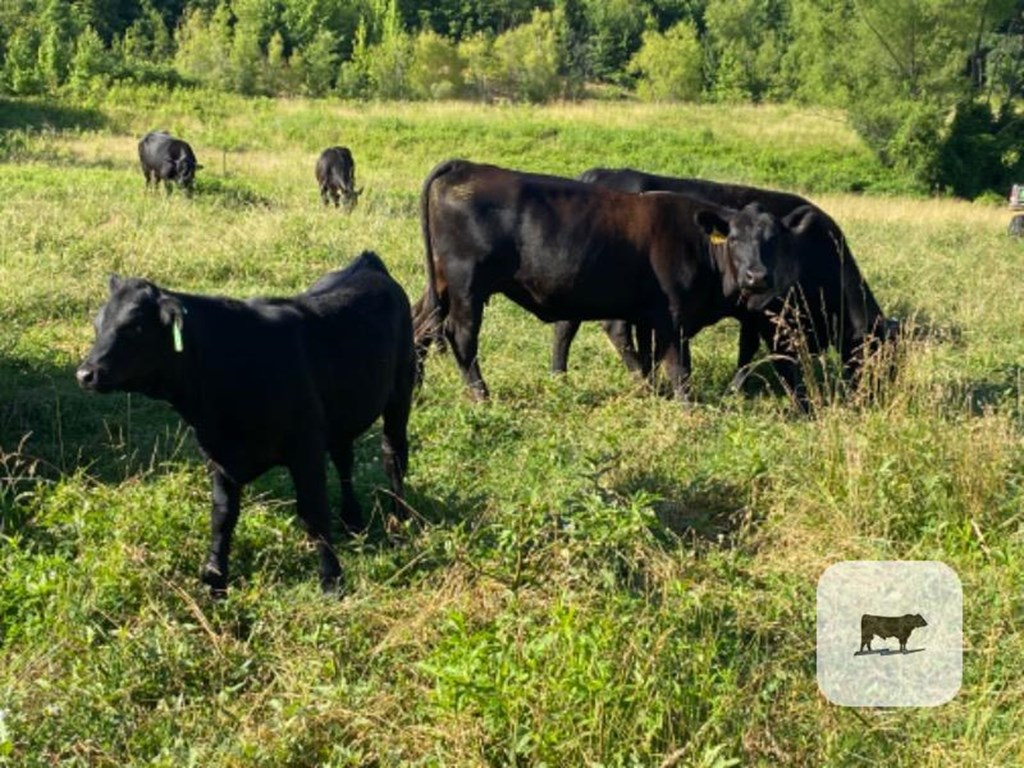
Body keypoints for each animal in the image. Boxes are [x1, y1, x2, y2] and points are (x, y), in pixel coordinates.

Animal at [74, 252, 419, 593]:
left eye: (134, 326)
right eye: (97, 324)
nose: (85, 373)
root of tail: (366, 262)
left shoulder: (305, 448)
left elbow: (313, 512)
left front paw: (332, 580)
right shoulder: (218, 456)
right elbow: (222, 515)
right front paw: (214, 579)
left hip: (400, 392)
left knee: (393, 455)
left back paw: (400, 521)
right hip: (342, 416)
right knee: (345, 461)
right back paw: (352, 519)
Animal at [409, 158, 815, 399]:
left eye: (773, 241)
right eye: (733, 239)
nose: (756, 276)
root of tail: (465, 167)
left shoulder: (649, 316)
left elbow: (650, 357)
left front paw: (651, 391)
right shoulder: (673, 318)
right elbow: (678, 368)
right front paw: (682, 405)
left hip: (442, 284)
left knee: (422, 324)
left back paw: (416, 386)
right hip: (467, 287)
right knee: (461, 336)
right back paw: (481, 395)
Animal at [557, 167, 901, 403]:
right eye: (880, 354)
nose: (881, 396)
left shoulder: (752, 313)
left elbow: (745, 349)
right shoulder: (769, 314)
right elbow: (771, 356)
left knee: (566, 326)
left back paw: (561, 377)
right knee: (612, 329)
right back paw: (641, 381)